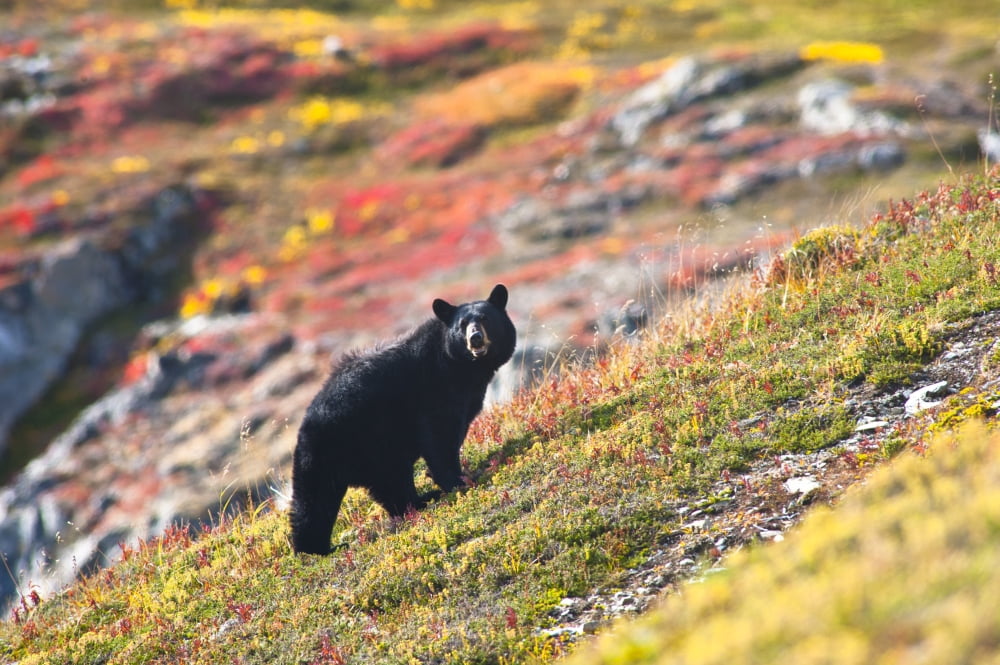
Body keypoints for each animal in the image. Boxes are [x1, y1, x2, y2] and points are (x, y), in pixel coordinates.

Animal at [290, 284, 516, 554]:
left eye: (484, 318)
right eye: (462, 324)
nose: (475, 338)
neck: (461, 368)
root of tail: (306, 425)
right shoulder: (432, 392)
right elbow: (440, 438)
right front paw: (458, 481)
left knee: (325, 499)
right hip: (365, 441)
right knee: (370, 485)